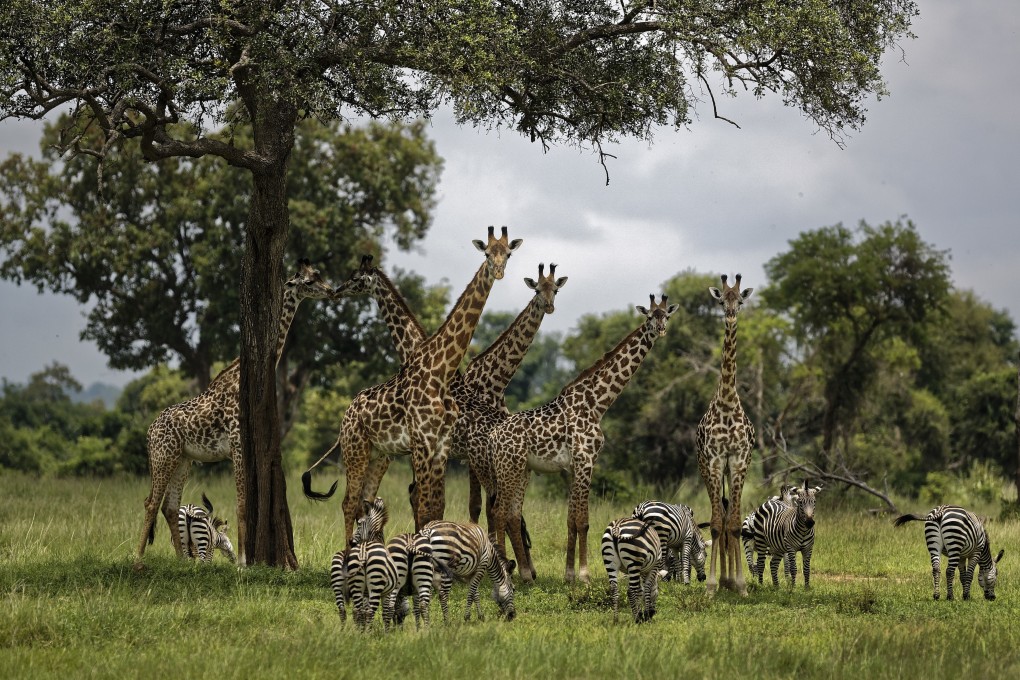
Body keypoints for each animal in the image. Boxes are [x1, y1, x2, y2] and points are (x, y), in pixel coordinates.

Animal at [134, 259, 334, 568]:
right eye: (309, 281)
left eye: (318, 275)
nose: (331, 291)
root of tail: (149, 431)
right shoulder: (237, 445)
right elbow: (241, 504)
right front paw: (242, 562)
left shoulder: (242, 448)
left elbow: (244, 504)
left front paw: (243, 559)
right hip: (162, 456)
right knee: (151, 502)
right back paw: (138, 558)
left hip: (183, 460)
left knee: (169, 505)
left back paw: (182, 560)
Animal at [303, 226, 523, 544]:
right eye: (486, 253)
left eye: (507, 253)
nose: (337, 290)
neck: (438, 368)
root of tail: (347, 414)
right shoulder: (421, 443)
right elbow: (425, 504)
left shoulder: (437, 445)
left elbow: (432, 506)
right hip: (359, 450)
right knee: (351, 502)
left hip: (388, 455)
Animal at [488, 294, 679, 583]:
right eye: (649, 316)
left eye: (666, 315)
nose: (661, 330)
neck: (597, 404)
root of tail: (494, 435)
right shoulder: (585, 460)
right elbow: (583, 521)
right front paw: (585, 575)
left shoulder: (575, 465)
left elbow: (571, 519)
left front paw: (569, 574)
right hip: (508, 467)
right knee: (499, 512)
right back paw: (508, 572)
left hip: (523, 470)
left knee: (511, 514)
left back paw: (526, 574)